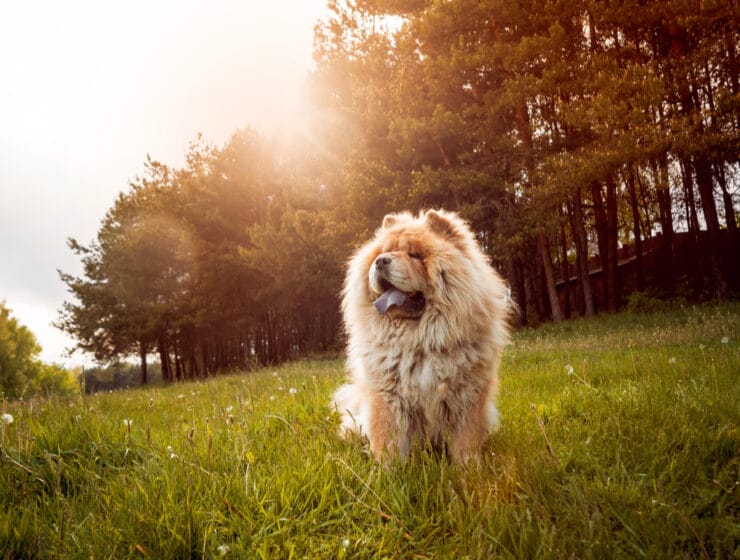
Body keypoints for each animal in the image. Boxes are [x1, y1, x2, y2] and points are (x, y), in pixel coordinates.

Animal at [330, 210, 508, 464]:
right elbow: (388, 440)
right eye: (382, 252)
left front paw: (469, 467)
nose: (380, 261)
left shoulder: (468, 396)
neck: (419, 340)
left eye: (414, 255)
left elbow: (466, 439)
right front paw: (387, 470)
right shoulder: (388, 398)